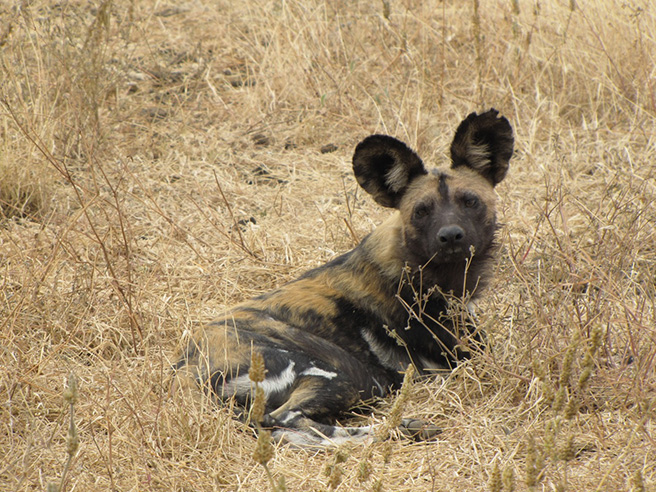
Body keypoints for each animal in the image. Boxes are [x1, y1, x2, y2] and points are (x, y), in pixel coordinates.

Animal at [173, 108, 512, 446]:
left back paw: (405, 428)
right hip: (347, 374)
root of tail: (185, 366)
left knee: (287, 431)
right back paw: (397, 430)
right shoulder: (468, 357)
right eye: (421, 211)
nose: (451, 236)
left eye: (470, 201)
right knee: (284, 419)